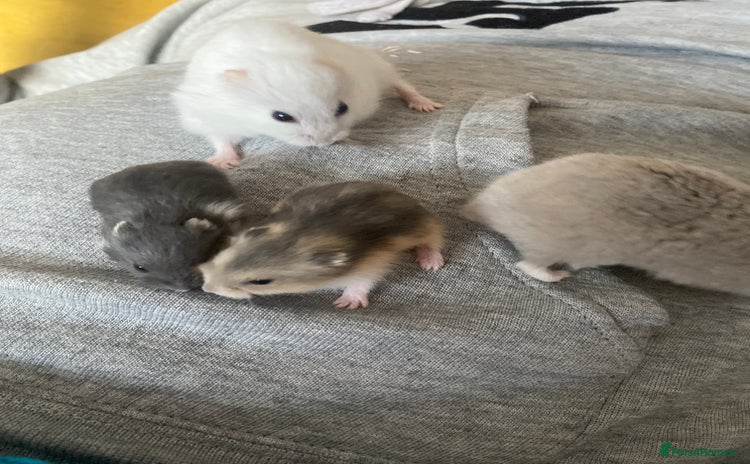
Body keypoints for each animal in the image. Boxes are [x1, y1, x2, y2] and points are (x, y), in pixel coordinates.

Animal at [172, 19, 443, 168]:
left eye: (343, 108)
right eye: (281, 117)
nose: (325, 144)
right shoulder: (206, 114)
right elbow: (221, 139)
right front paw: (225, 163)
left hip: (374, 66)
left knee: (401, 83)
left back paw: (426, 105)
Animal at [199, 182, 445, 309]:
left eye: (261, 282)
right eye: (224, 253)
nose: (206, 288)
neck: (305, 232)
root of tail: (400, 193)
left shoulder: (372, 264)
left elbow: (361, 284)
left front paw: (345, 304)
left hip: (426, 224)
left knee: (433, 241)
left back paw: (430, 263)